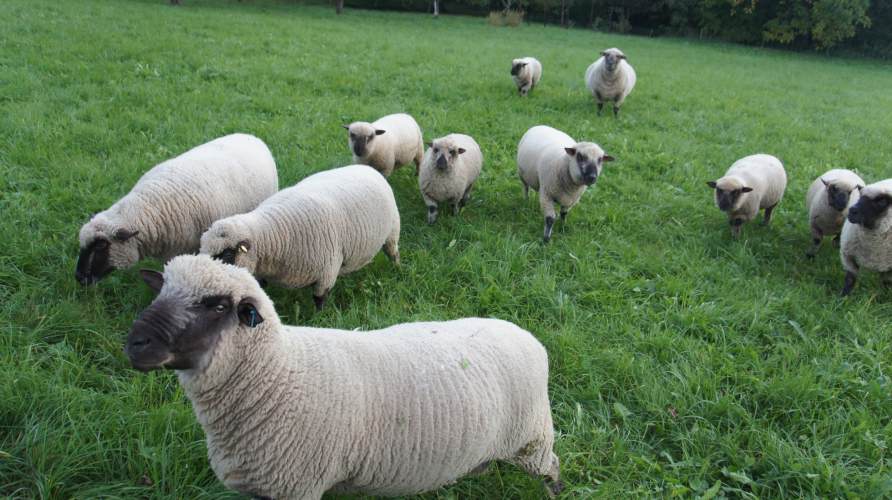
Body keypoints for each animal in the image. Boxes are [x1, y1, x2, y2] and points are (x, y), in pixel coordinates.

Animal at [123, 254, 564, 500]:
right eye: (161, 290)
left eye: (215, 305)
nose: (135, 342)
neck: (277, 374)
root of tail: (527, 336)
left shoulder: (296, 486)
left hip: (531, 438)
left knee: (552, 468)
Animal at [202, 166, 400, 310]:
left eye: (226, 255)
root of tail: (368, 167)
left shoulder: (327, 271)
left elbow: (319, 299)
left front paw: (320, 319)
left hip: (393, 230)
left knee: (393, 252)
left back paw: (397, 269)